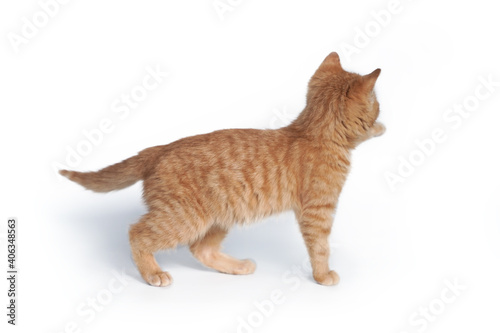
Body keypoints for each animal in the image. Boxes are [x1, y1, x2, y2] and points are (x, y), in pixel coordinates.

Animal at [60, 52, 384, 286]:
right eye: (377, 102)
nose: (381, 110)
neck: (313, 133)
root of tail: (160, 148)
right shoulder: (318, 212)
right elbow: (320, 248)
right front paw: (322, 276)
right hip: (182, 219)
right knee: (136, 233)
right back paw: (153, 273)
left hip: (218, 218)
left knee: (200, 250)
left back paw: (237, 267)